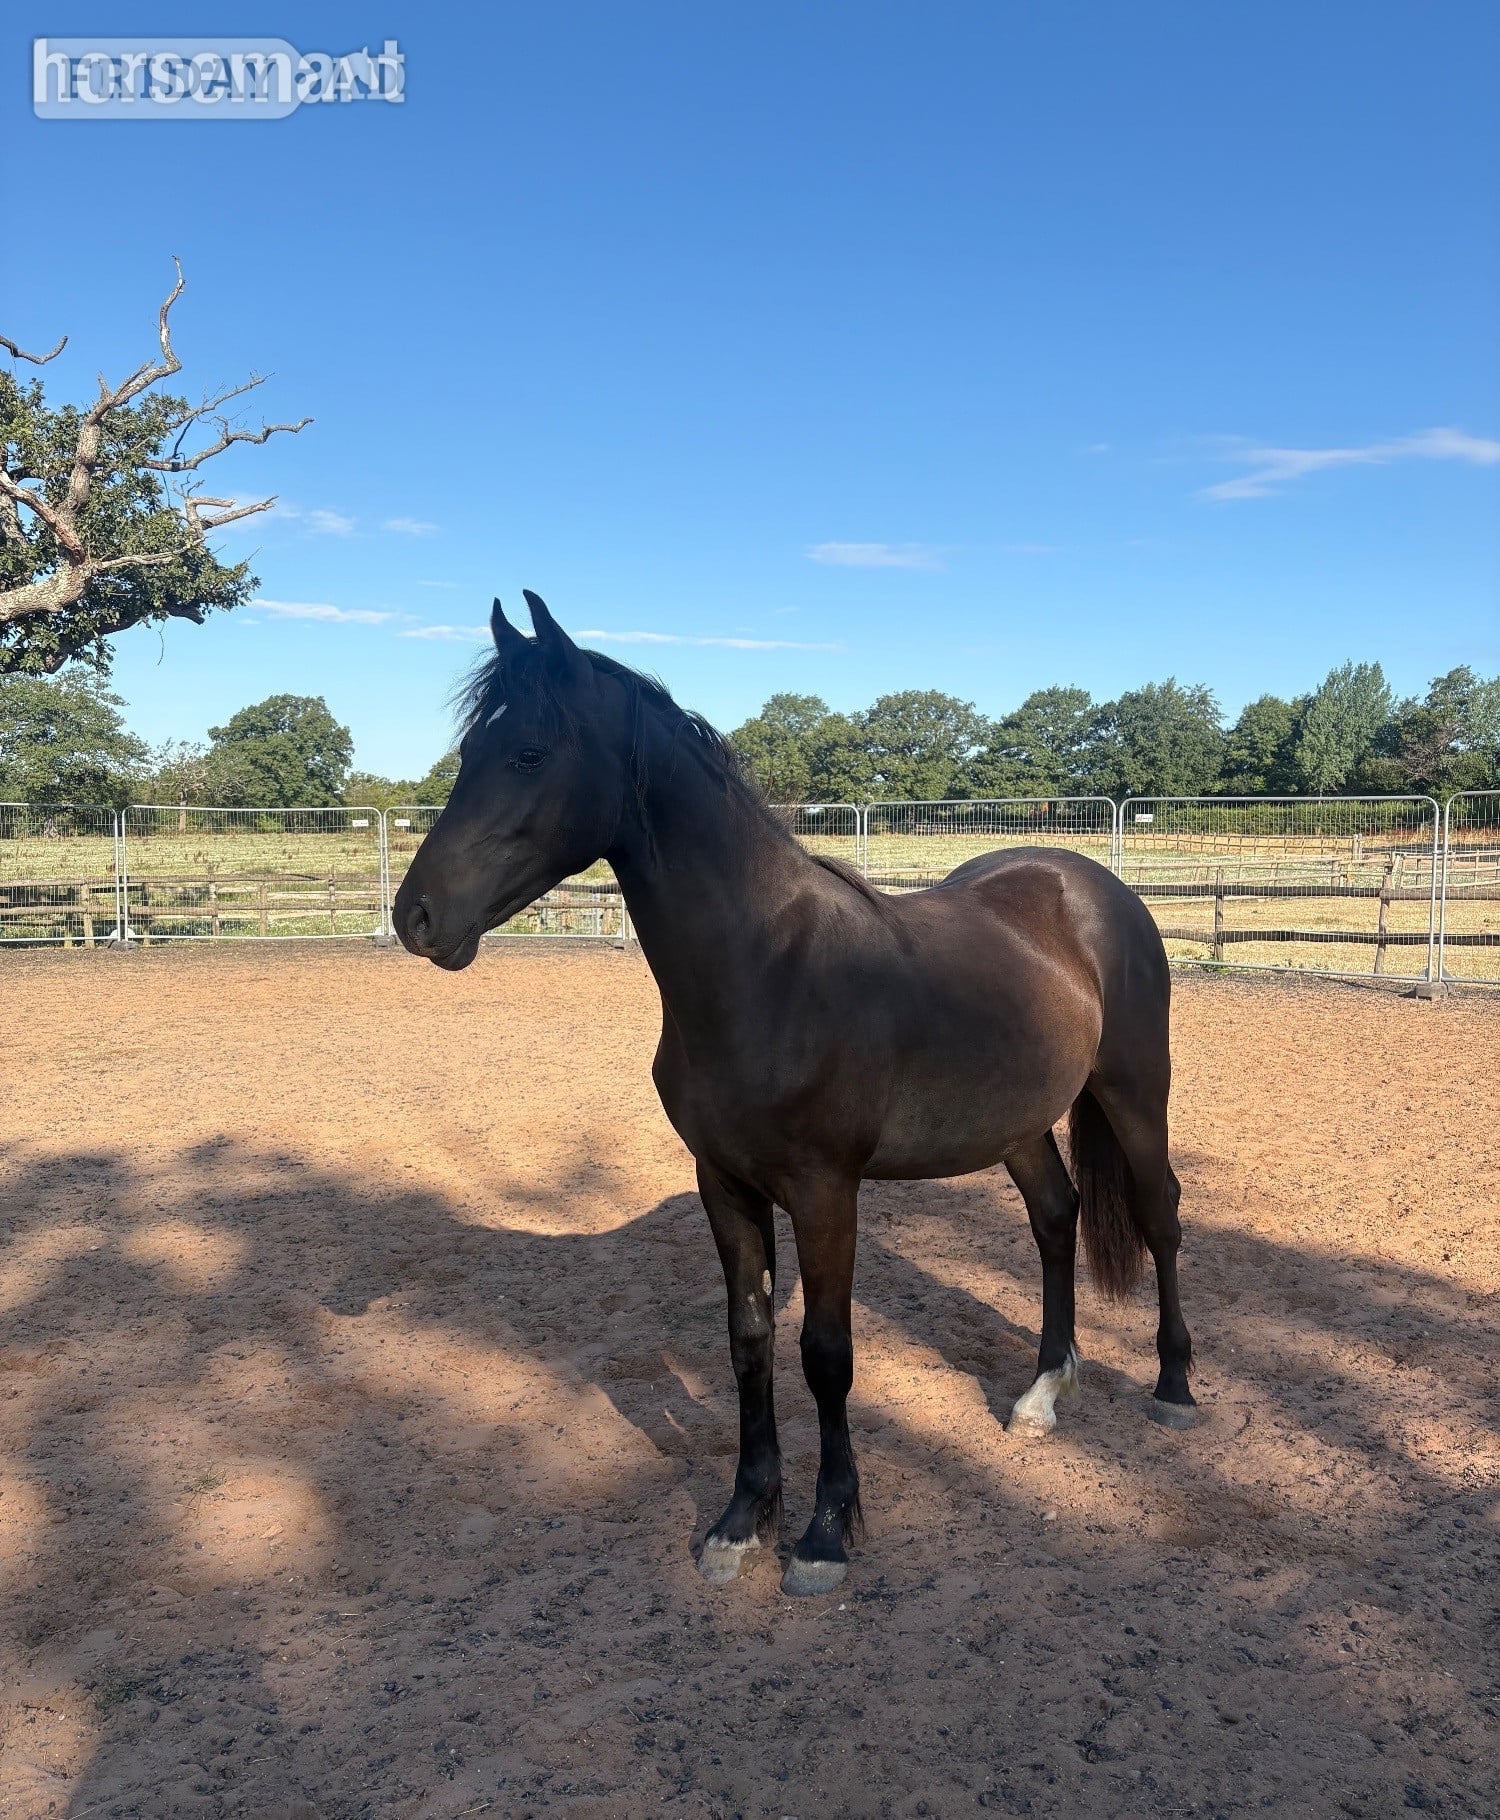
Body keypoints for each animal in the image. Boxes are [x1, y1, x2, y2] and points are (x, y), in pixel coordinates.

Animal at [394, 592, 1195, 1597]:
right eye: (470, 750)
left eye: (530, 752)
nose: (415, 916)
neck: (767, 968)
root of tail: (1090, 885)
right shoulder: (725, 1186)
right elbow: (748, 1343)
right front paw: (742, 1522)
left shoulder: (824, 1194)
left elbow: (825, 1355)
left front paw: (823, 1534)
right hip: (1016, 1125)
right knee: (1056, 1218)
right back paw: (1043, 1394)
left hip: (1134, 1093)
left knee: (1160, 1215)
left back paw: (1175, 1388)